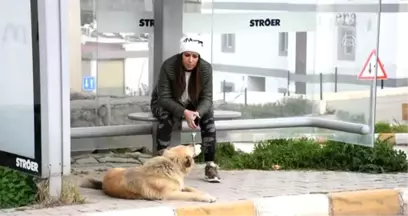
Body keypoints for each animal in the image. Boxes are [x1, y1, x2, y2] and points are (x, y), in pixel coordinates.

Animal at [79, 144, 217, 203]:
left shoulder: (180, 187)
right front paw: (207, 197)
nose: (200, 145)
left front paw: (208, 194)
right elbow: (192, 194)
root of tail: (103, 182)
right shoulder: (170, 194)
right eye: (191, 147)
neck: (170, 164)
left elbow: (192, 189)